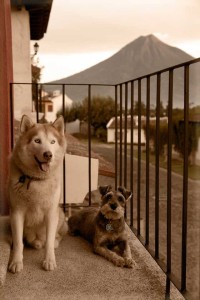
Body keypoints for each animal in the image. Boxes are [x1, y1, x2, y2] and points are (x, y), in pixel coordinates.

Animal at [8, 113, 67, 274]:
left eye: (53, 141)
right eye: (37, 141)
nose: (48, 154)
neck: (37, 180)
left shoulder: (51, 213)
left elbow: (50, 241)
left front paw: (49, 260)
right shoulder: (16, 213)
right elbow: (18, 242)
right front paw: (16, 261)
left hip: (60, 214)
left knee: (54, 237)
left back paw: (52, 242)